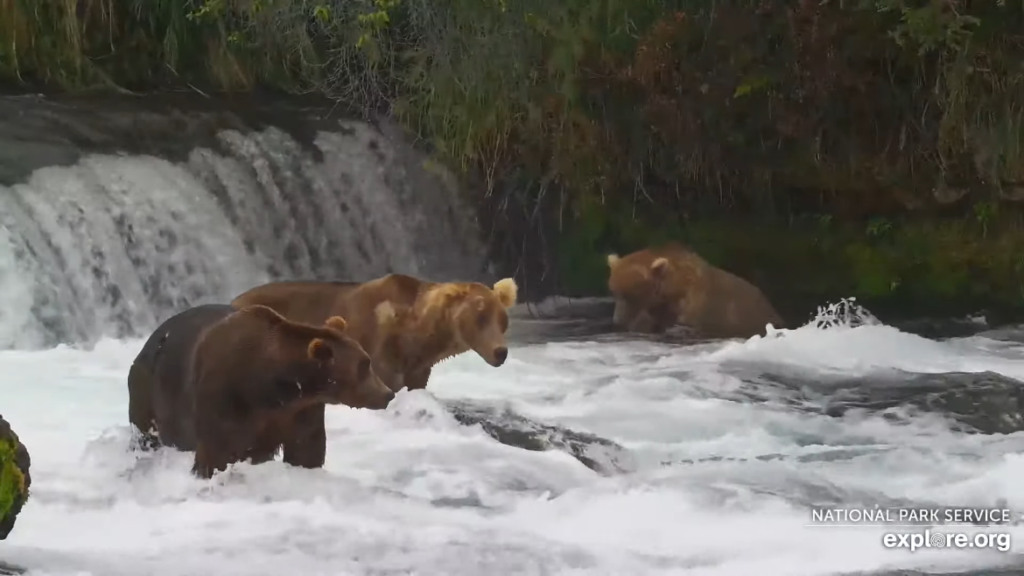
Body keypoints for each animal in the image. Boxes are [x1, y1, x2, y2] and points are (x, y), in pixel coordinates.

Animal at [124, 303, 395, 477]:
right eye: (364, 366)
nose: (388, 393)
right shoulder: (225, 398)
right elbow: (216, 451)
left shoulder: (300, 410)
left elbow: (306, 448)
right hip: (148, 391)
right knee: (146, 433)